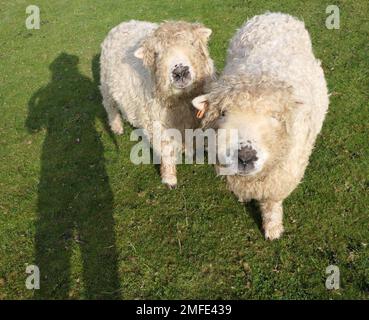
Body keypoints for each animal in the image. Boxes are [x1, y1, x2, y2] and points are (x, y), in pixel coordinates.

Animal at [100, 20, 216, 188]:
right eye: (156, 54)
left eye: (192, 43)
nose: (180, 72)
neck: (182, 100)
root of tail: (123, 23)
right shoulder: (156, 123)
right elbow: (166, 149)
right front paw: (169, 178)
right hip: (106, 84)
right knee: (110, 106)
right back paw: (116, 127)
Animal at [193, 12, 328, 239]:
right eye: (223, 113)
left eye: (275, 116)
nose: (245, 156)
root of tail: (274, 14)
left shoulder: (280, 179)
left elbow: (272, 203)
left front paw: (272, 228)